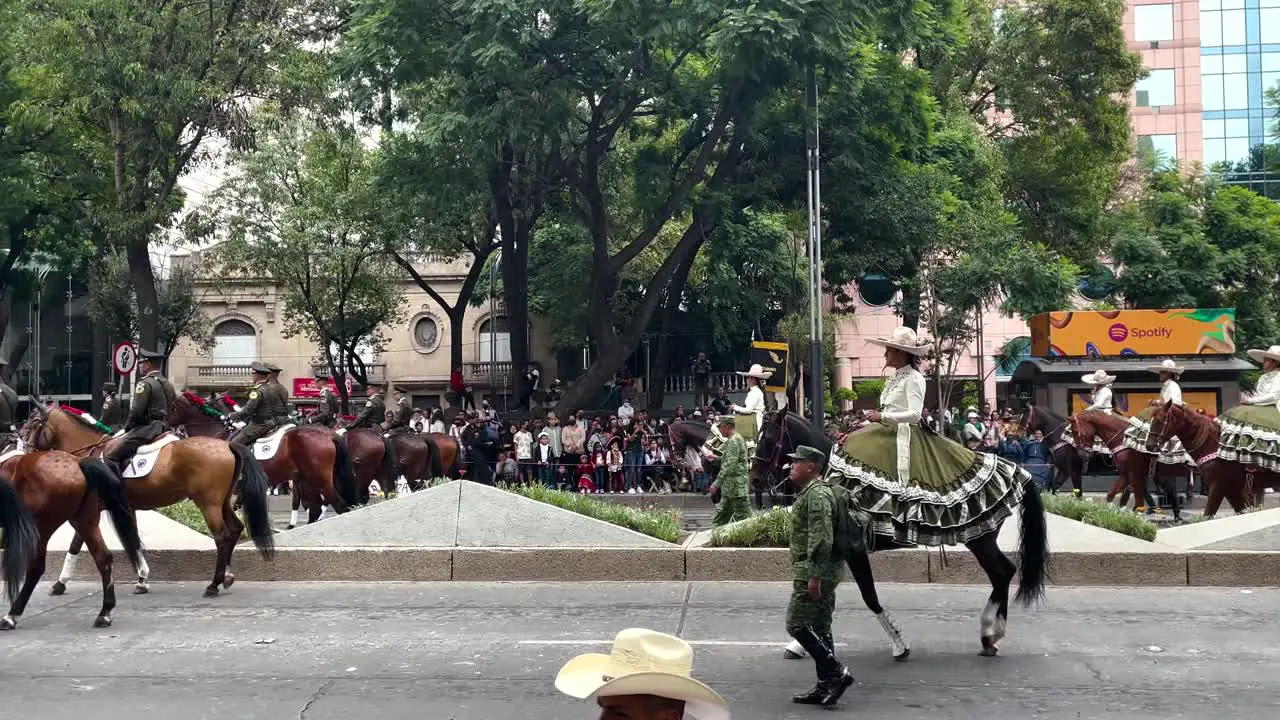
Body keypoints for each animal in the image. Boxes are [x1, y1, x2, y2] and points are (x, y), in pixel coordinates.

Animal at [0, 453, 142, 627]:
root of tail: (78, 462)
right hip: (85, 521)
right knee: (103, 557)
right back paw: (105, 612)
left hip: (42, 527)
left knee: (36, 568)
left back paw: (12, 615)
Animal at [20, 404, 275, 594]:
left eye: (34, 422)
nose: (24, 450)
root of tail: (228, 445)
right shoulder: (124, 508)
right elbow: (133, 540)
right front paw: (142, 578)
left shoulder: (91, 510)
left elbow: (77, 544)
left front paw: (60, 583)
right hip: (223, 501)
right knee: (235, 529)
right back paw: (227, 577)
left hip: (208, 503)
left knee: (222, 536)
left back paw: (214, 584)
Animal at [170, 389, 358, 525]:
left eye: (173, 407)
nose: (166, 423)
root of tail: (329, 435)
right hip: (309, 480)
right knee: (315, 508)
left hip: (319, 479)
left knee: (336, 505)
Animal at [752, 409, 1044, 655]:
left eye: (768, 438)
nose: (754, 478)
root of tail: (1017, 470)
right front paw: (801, 644)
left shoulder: (855, 549)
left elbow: (869, 597)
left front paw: (899, 643)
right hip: (981, 538)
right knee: (1003, 572)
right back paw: (992, 637)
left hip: (980, 539)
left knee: (1002, 573)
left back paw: (989, 633)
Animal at [1152, 399, 1280, 512]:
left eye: (1159, 420)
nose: (1150, 444)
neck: (1214, 444)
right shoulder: (1231, 489)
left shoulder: (1218, 486)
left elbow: (1208, 514)